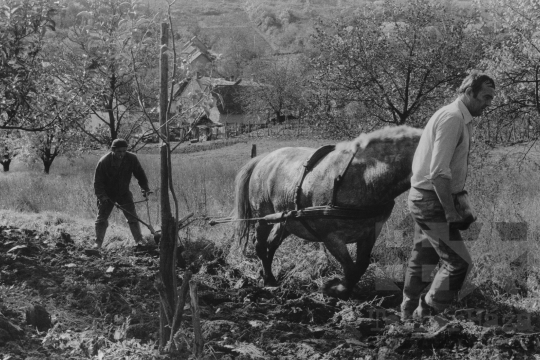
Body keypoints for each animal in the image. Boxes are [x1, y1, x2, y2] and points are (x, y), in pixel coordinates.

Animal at [230, 125, 424, 300]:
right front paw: (335, 289)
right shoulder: (331, 237)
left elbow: (361, 265)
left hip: (286, 221)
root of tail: (263, 158)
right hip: (263, 218)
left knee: (271, 245)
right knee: (260, 245)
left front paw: (341, 288)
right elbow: (350, 268)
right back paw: (269, 280)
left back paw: (267, 275)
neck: (365, 178)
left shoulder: (370, 233)